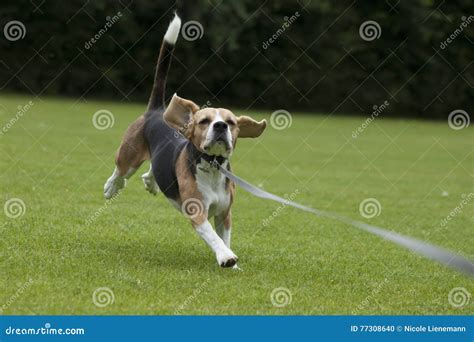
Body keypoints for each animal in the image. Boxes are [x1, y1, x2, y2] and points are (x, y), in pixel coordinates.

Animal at [103, 14, 266, 268]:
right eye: (204, 121)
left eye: (230, 122)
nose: (220, 126)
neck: (212, 165)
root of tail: (157, 110)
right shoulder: (197, 212)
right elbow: (213, 237)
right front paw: (226, 257)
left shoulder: (225, 214)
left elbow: (225, 237)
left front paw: (233, 263)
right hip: (128, 155)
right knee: (120, 173)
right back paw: (111, 187)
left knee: (150, 171)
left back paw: (150, 182)